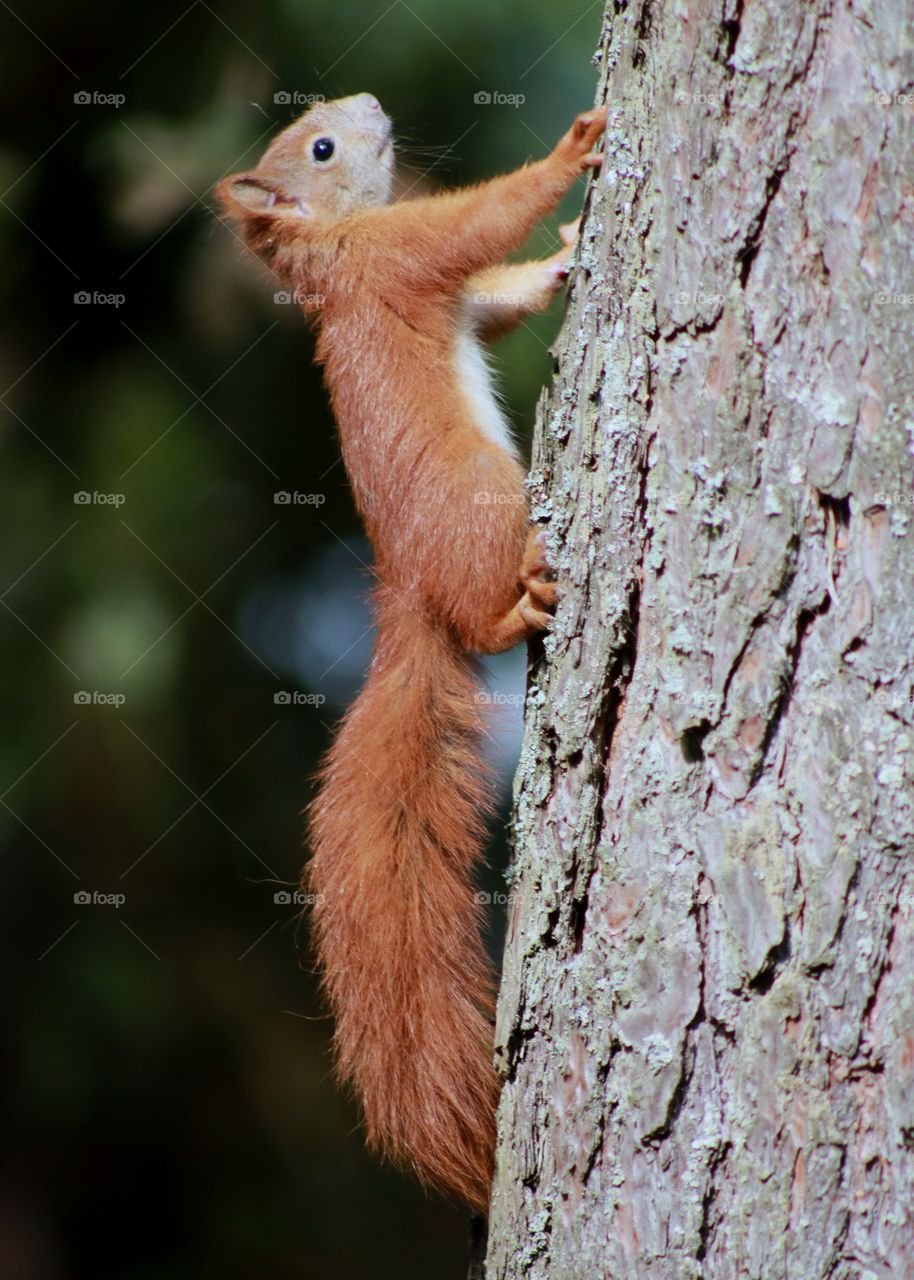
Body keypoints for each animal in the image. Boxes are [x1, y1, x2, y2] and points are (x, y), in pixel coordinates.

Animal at [216, 93, 607, 1214]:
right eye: (319, 146)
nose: (369, 108)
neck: (336, 245)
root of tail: (412, 597)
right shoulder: (399, 256)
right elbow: (474, 225)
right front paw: (570, 155)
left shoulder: (436, 287)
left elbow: (498, 296)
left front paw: (569, 252)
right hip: (485, 509)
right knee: (486, 616)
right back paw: (525, 603)